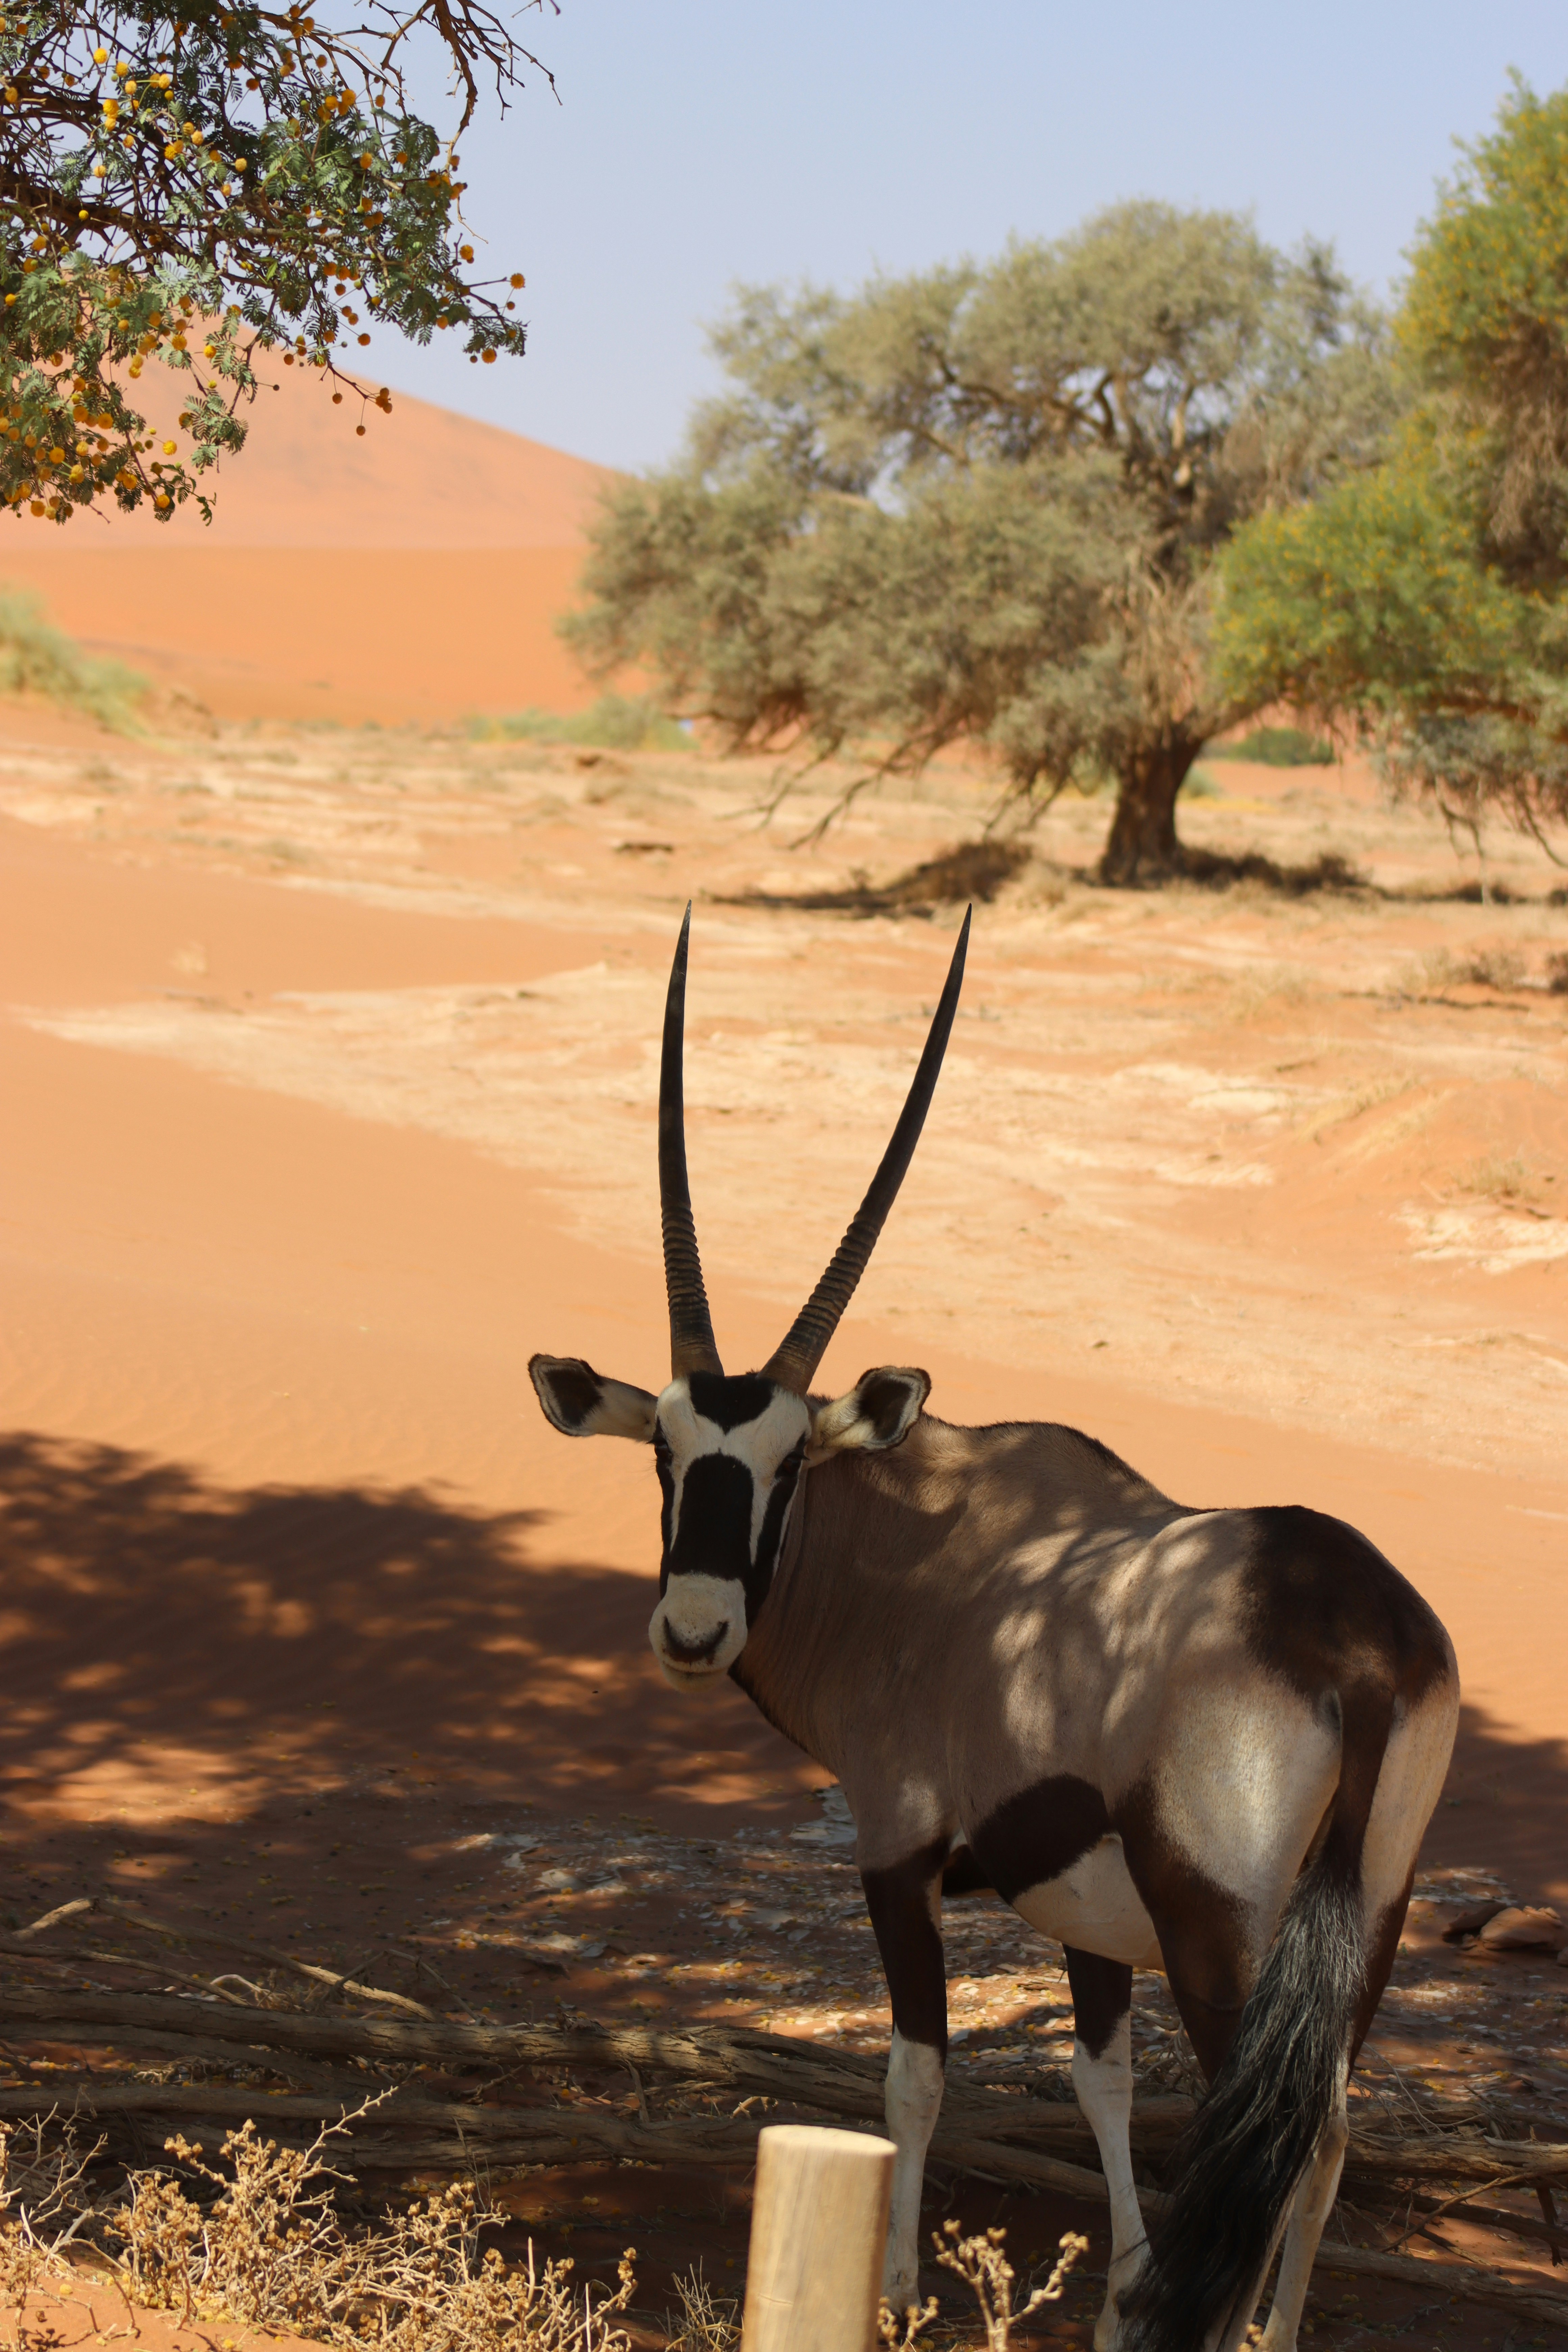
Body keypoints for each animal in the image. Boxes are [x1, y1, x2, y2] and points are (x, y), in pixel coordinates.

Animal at [529, 909, 1459, 2352]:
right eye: (669, 1455)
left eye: (788, 1463)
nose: (692, 1628)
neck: (925, 1556)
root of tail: (1358, 1640)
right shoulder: (1090, 1917)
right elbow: (1100, 2080)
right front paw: (1118, 2296)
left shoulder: (897, 1852)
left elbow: (914, 2072)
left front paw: (902, 2288)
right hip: (1370, 1917)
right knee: (1325, 2136)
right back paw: (1265, 2327)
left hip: (1222, 1929)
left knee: (1275, 2135)